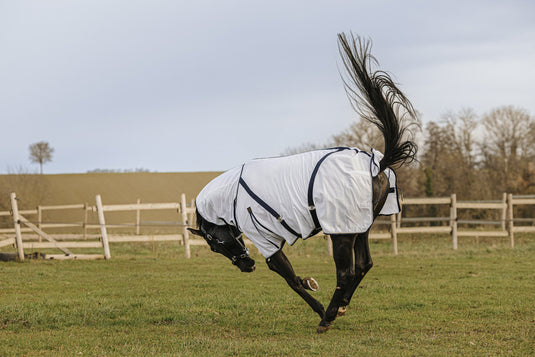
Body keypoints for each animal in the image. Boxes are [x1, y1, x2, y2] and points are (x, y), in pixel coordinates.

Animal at [188, 32, 418, 332]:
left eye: (215, 243)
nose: (246, 266)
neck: (233, 194)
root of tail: (376, 163)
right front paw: (320, 294)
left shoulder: (268, 244)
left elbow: (292, 281)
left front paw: (317, 303)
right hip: (360, 229)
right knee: (364, 265)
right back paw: (340, 306)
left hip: (342, 234)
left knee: (347, 272)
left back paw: (328, 316)